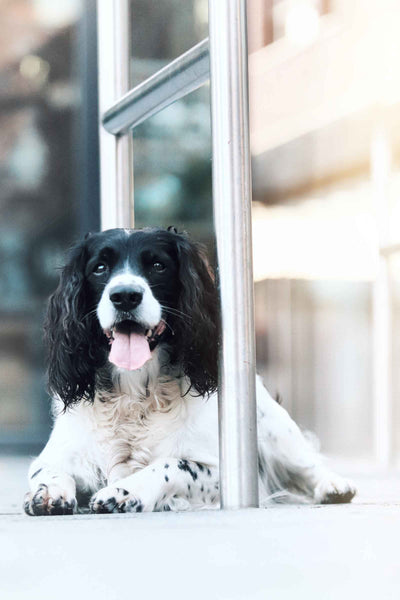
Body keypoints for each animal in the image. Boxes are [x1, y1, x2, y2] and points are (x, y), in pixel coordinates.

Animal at [24, 227, 356, 512]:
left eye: (158, 265)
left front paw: (125, 492)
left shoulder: (219, 471)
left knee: (307, 464)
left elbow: (171, 465)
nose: (125, 295)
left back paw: (334, 485)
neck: (134, 391)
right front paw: (48, 492)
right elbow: (49, 471)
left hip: (277, 430)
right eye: (100, 268)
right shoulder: (58, 455)